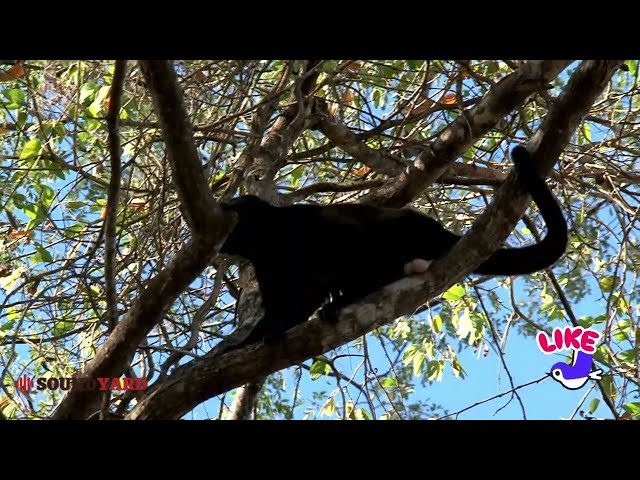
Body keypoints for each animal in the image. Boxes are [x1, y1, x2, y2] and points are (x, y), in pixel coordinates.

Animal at [219, 146, 564, 348]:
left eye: (234, 208)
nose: (224, 207)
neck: (269, 239)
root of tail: (437, 230)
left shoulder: (299, 230)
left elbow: (318, 276)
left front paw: (278, 326)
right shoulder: (264, 264)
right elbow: (276, 302)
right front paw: (244, 341)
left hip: (400, 230)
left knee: (356, 241)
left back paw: (352, 294)